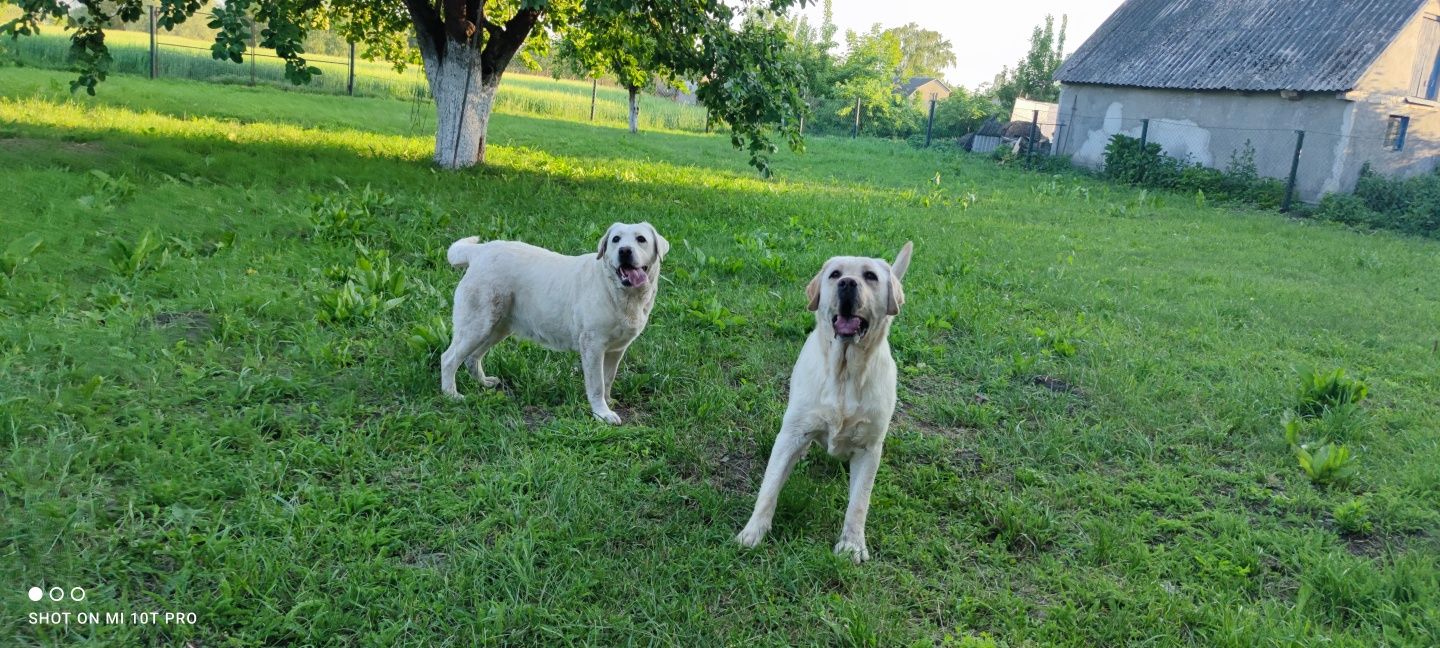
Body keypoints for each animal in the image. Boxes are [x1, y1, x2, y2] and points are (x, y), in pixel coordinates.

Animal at [437, 223, 668, 426]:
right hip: (478, 324)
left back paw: (484, 383)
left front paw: (609, 402)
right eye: (616, 239)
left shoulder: (616, 349)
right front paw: (602, 414)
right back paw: (452, 395)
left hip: (496, 327)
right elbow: (597, 385)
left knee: (472, 357)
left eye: (641, 239)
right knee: (448, 358)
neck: (618, 292)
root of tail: (480, 250)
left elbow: (608, 378)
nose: (625, 251)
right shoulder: (592, 345)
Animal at [743, 240, 910, 558]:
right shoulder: (791, 433)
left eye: (870, 276)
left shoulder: (870, 448)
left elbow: (859, 503)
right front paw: (753, 532)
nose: (847, 283)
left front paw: (852, 544)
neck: (845, 373)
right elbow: (769, 487)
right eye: (835, 274)